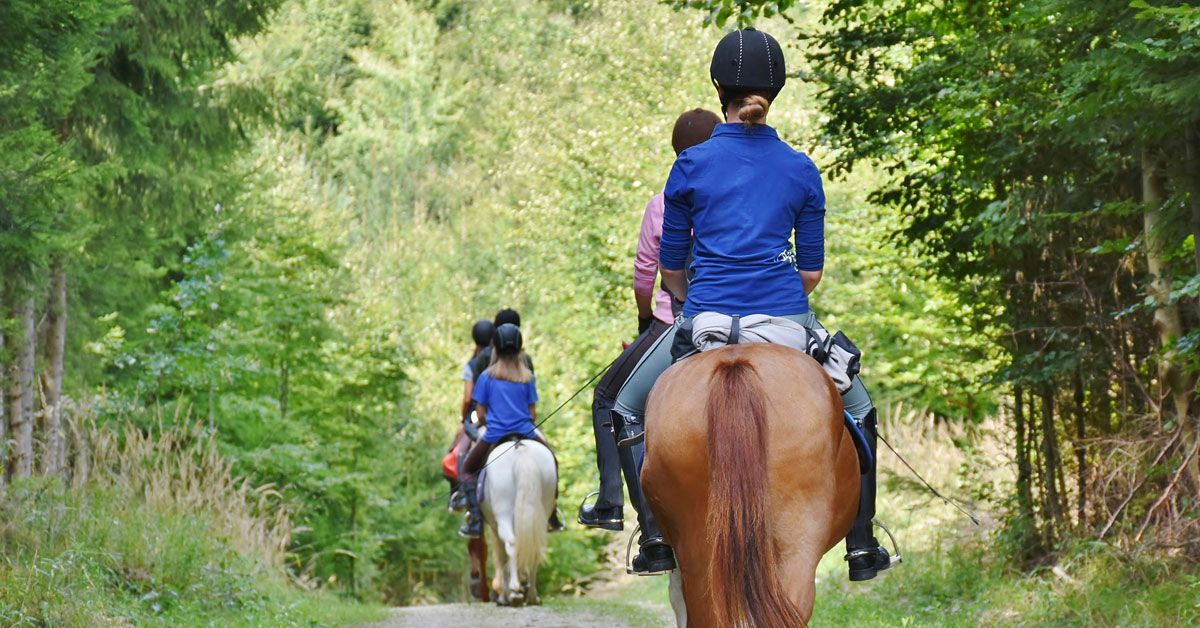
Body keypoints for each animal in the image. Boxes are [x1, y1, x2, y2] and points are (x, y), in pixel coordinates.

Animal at [477, 437, 556, 605]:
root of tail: (519, 448)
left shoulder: (494, 528)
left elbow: (500, 557)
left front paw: (503, 595)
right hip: (542, 509)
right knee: (534, 547)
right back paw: (532, 596)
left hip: (503, 513)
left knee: (511, 544)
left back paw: (514, 591)